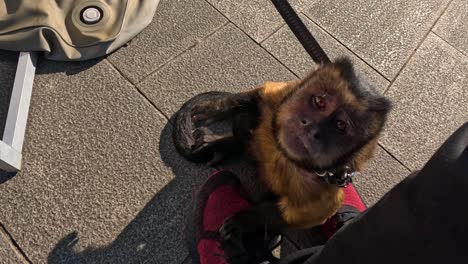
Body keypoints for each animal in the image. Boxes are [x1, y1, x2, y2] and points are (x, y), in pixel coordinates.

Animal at [172, 57, 392, 241]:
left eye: (340, 125)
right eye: (319, 101)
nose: (312, 128)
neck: (284, 153)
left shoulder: (327, 182)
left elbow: (309, 213)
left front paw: (246, 220)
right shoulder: (281, 94)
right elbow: (259, 96)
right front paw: (219, 110)